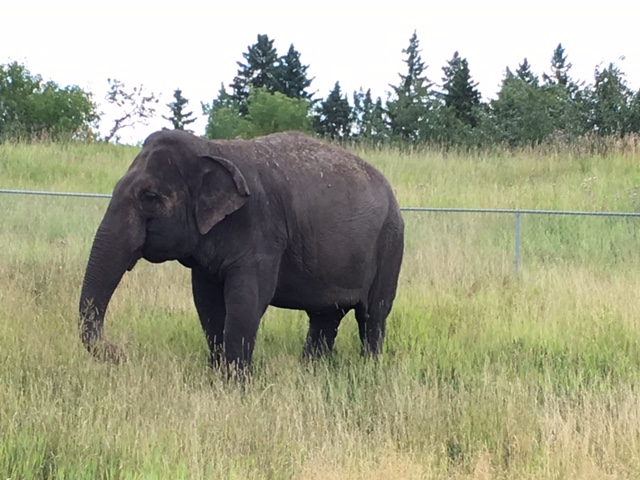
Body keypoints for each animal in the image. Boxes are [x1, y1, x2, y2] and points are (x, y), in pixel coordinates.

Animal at [78, 129, 404, 373]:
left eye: (150, 198)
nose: (119, 351)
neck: (211, 148)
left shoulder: (263, 230)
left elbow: (247, 301)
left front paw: (235, 384)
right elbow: (207, 303)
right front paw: (217, 377)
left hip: (391, 242)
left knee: (373, 315)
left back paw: (368, 369)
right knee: (325, 315)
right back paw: (311, 371)